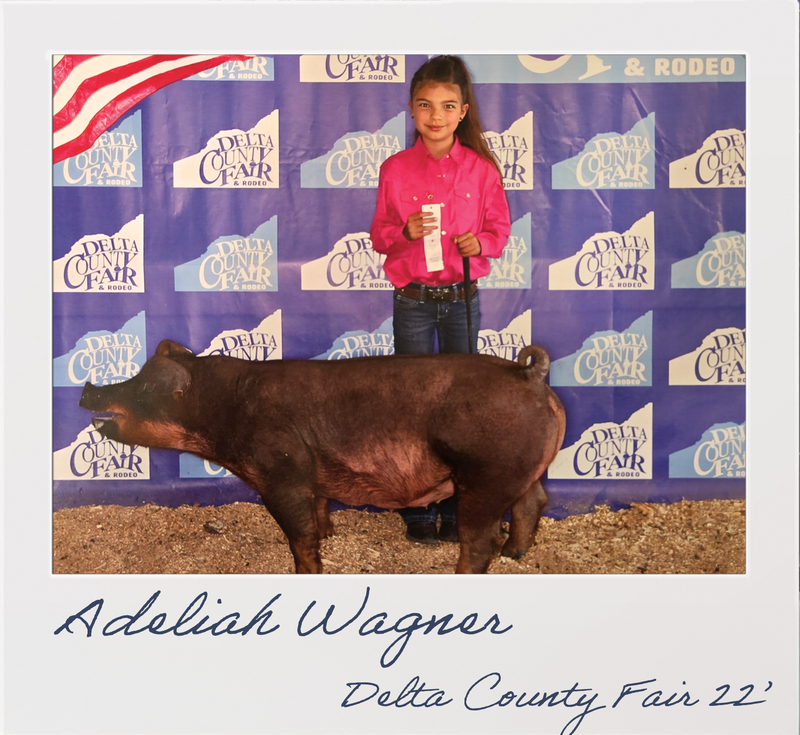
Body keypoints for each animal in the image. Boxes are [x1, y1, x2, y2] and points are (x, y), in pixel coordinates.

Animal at [79, 340, 566, 574]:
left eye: (144, 387)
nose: (87, 389)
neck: (223, 409)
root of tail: (530, 374)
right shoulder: (310, 479)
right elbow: (318, 511)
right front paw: (330, 533)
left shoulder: (280, 474)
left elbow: (299, 536)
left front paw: (308, 569)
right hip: (519, 471)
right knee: (534, 501)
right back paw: (516, 554)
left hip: (486, 473)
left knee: (480, 539)